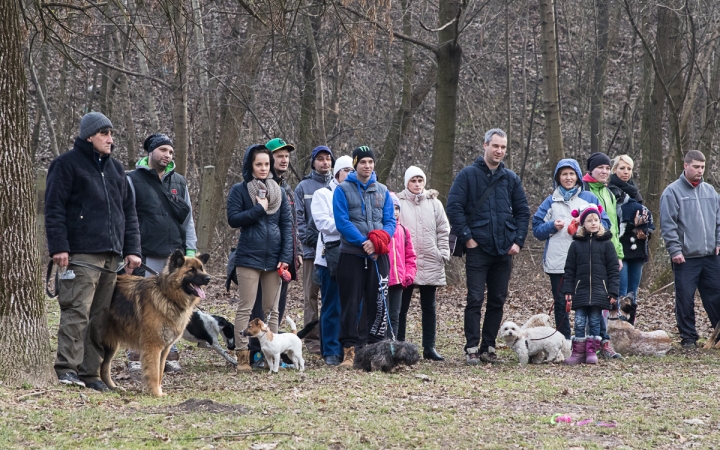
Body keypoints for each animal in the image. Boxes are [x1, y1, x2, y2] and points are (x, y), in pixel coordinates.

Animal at [100, 250, 210, 398]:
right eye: (191, 270)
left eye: (201, 269)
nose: (208, 278)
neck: (167, 295)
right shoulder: (153, 347)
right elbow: (153, 373)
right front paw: (157, 393)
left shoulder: (164, 349)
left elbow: (160, 372)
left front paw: (158, 390)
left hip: (111, 345)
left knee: (104, 367)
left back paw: (112, 387)